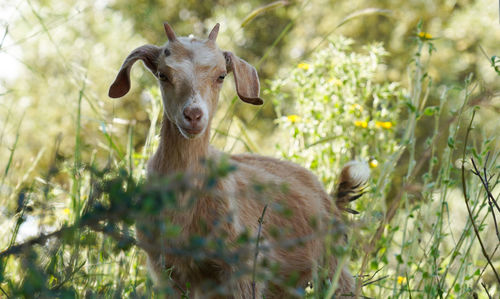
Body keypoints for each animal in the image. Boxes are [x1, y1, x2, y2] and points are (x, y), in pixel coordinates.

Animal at [108, 22, 368, 298]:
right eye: (162, 74)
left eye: (221, 75)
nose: (193, 115)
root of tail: (328, 196)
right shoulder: (167, 270)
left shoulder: (243, 268)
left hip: (331, 266)